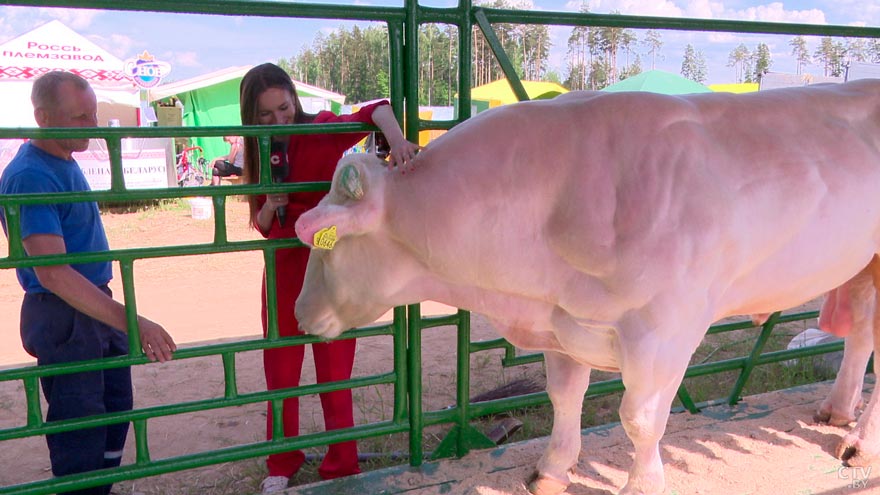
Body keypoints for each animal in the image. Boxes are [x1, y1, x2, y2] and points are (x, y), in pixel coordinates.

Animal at [292, 82, 880, 495]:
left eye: (323, 243)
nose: (298, 313)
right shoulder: (563, 320)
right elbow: (564, 397)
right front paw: (552, 470)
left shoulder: (663, 329)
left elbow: (639, 420)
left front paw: (642, 485)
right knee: (861, 331)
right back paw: (837, 410)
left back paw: (861, 446)